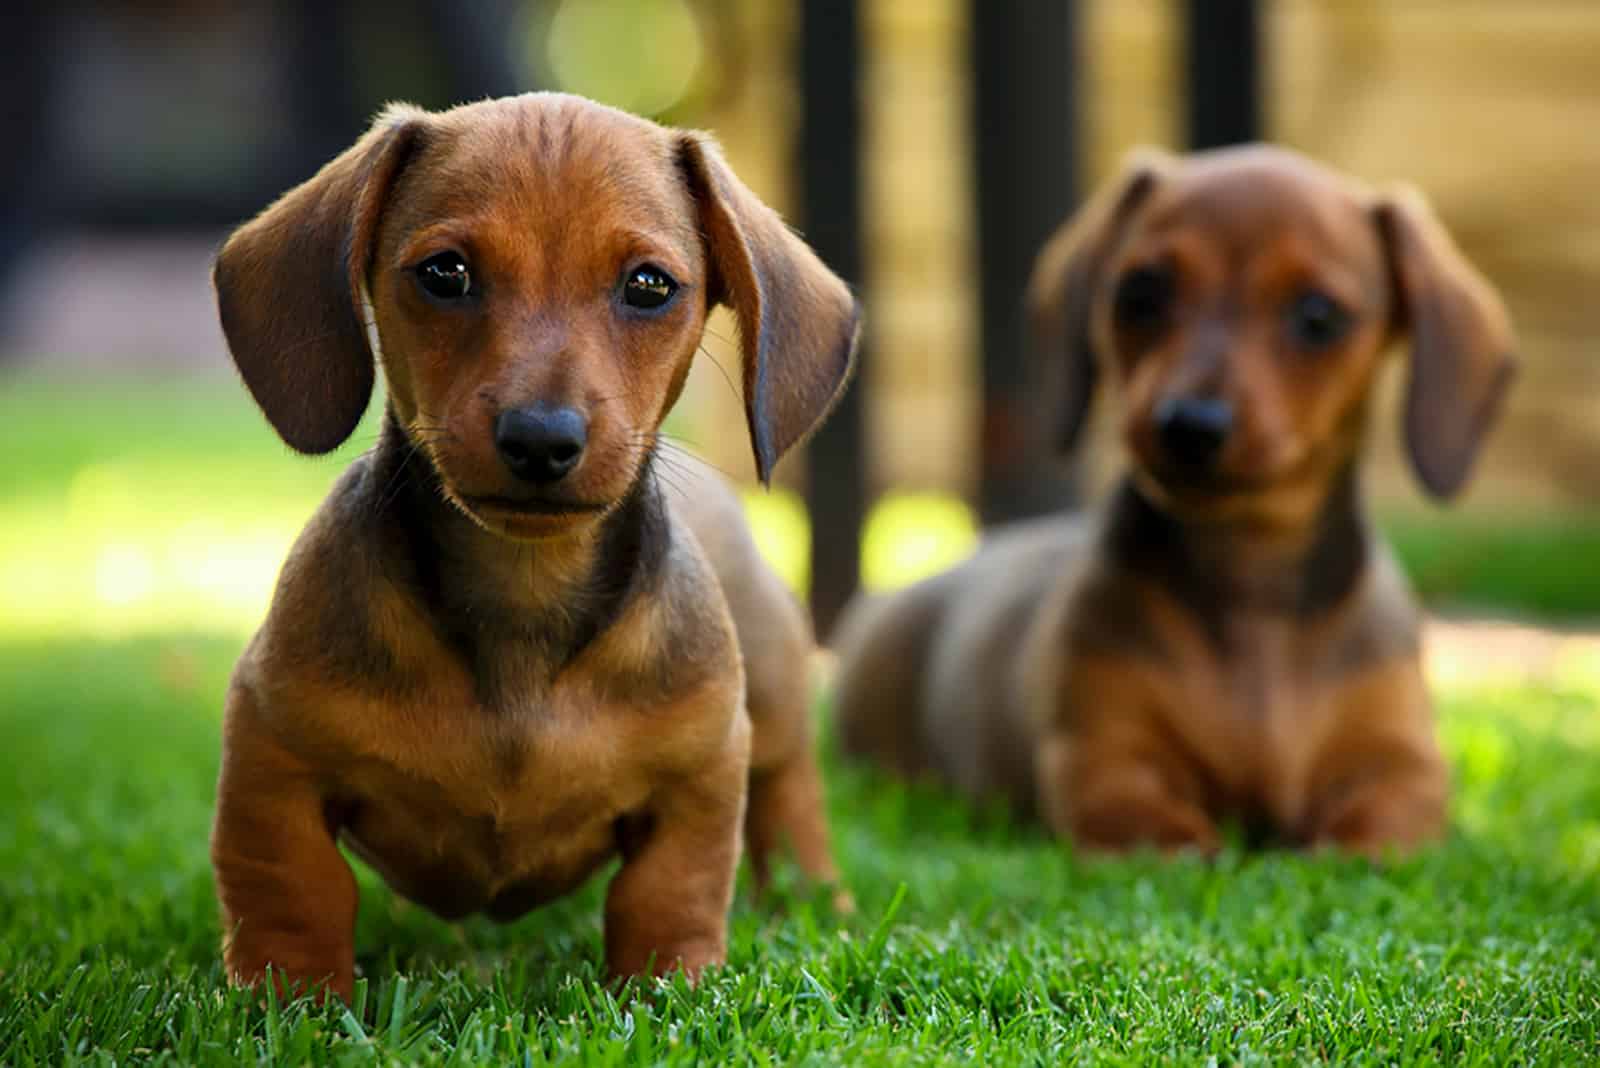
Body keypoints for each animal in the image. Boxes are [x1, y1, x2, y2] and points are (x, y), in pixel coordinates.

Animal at [214, 91, 864, 1004]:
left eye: (649, 286)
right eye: (445, 273)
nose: (540, 439)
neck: (521, 596)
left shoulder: (702, 776)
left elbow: (671, 893)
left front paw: (671, 989)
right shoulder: (272, 753)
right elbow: (291, 888)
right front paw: (291, 1000)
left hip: (772, 702)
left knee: (791, 798)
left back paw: (819, 903)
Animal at [832, 146, 1516, 856]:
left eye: (1318, 316)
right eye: (1141, 292)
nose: (1189, 424)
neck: (1252, 596)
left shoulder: (1405, 766)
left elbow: (1372, 831)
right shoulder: (1101, 762)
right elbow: (1167, 835)